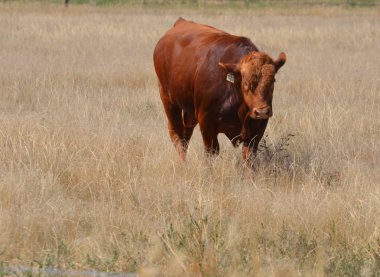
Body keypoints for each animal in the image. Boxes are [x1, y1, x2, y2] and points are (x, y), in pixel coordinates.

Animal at [152, 17, 284, 162]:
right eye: (246, 82)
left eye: (273, 81)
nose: (262, 112)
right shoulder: (207, 123)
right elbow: (211, 152)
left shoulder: (257, 129)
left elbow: (249, 156)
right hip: (168, 100)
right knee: (177, 134)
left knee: (186, 133)